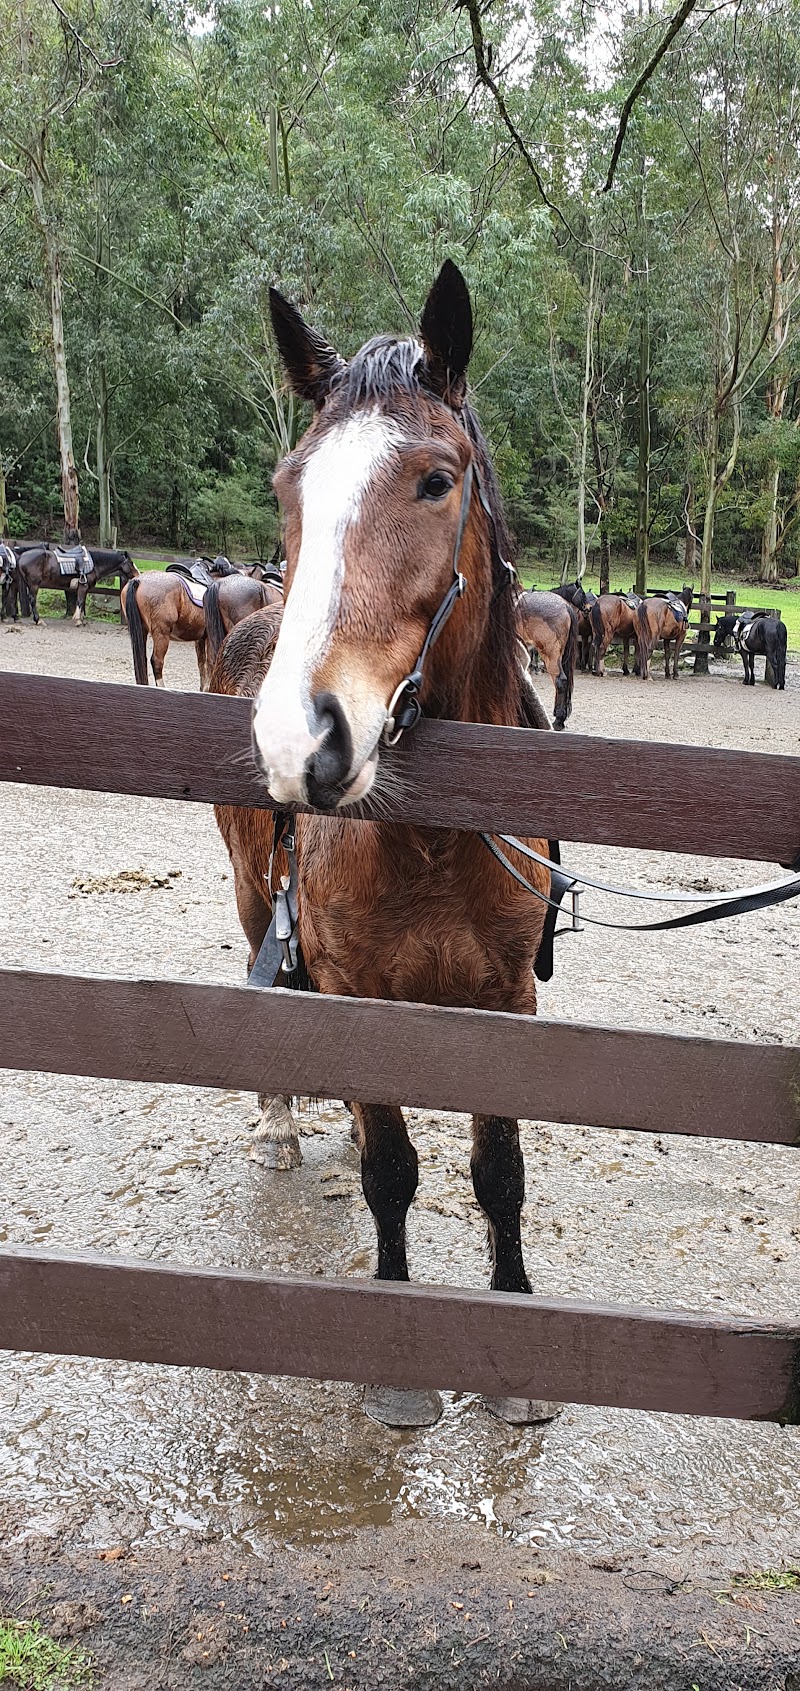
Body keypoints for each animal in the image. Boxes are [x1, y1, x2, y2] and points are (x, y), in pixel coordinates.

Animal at [211, 260, 564, 1430]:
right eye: (290, 486)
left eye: (434, 480)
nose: (301, 739)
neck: (433, 841)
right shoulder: (361, 991)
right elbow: (391, 1170)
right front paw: (401, 1356)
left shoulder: (508, 997)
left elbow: (497, 1168)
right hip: (252, 896)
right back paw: (279, 1125)